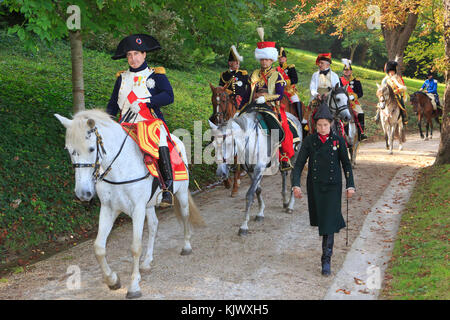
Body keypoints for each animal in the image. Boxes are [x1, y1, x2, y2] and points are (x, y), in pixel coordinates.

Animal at [54, 109, 204, 298]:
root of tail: (177, 142)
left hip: (181, 193)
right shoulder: (109, 209)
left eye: (91, 149)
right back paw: (147, 262)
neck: (120, 167)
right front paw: (112, 280)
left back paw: (186, 246)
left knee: (184, 216)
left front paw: (133, 286)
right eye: (68, 149)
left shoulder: (137, 209)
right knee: (154, 225)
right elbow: (98, 247)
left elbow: (135, 247)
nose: (83, 193)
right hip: (149, 204)